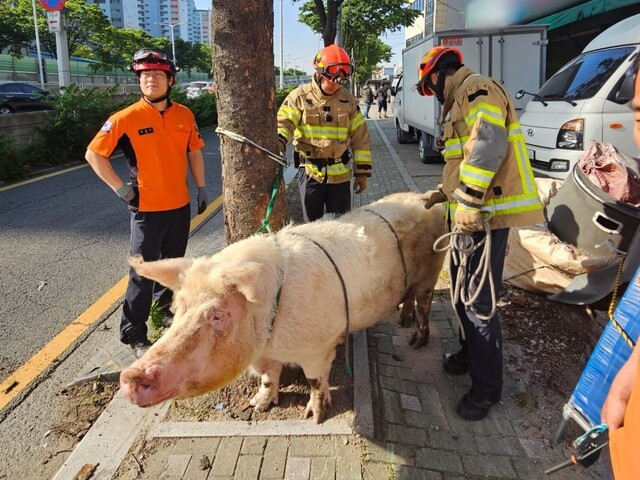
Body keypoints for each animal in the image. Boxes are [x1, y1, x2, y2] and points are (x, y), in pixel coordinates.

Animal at [120, 193, 444, 422]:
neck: (270, 333)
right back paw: (402, 321)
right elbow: (267, 377)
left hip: (432, 270)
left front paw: (315, 417)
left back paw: (416, 341)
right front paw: (258, 406)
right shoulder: (262, 354)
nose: (129, 377)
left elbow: (315, 380)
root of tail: (424, 199)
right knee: (410, 297)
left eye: (217, 315)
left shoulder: (317, 348)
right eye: (178, 308)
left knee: (425, 303)